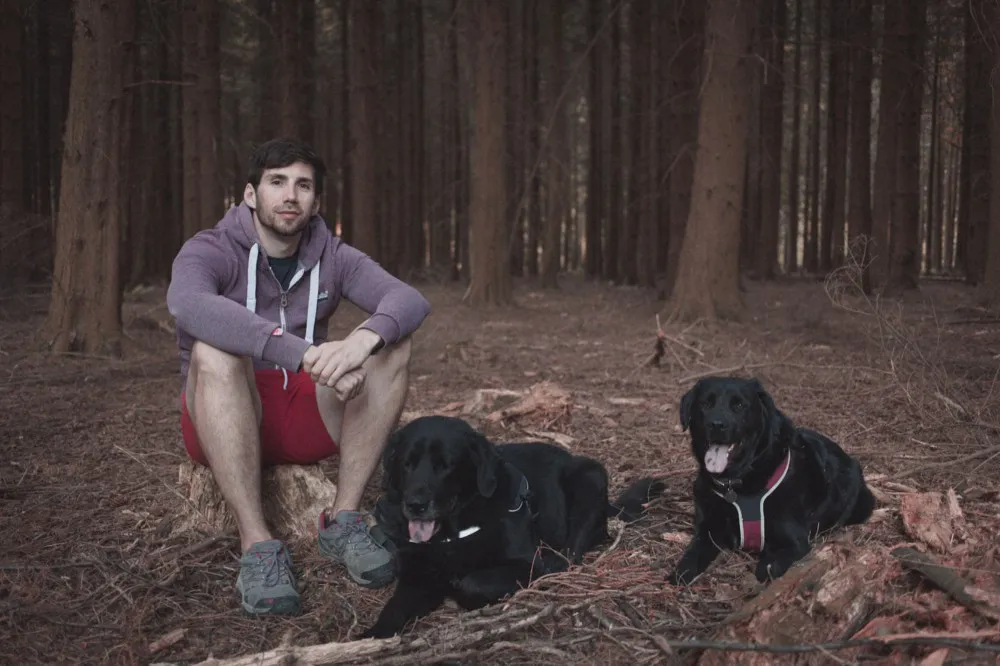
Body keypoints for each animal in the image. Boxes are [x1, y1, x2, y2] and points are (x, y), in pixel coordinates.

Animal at [360, 416, 664, 640]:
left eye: (445, 465)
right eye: (406, 464)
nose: (415, 504)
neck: (454, 532)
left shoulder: (524, 564)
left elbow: (471, 582)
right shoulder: (417, 577)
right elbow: (393, 611)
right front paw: (370, 638)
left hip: (589, 476)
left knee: (571, 554)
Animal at [672, 376, 876, 584]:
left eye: (739, 405)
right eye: (705, 404)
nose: (716, 424)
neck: (737, 482)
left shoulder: (794, 541)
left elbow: (767, 568)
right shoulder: (707, 529)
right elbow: (691, 557)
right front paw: (682, 571)